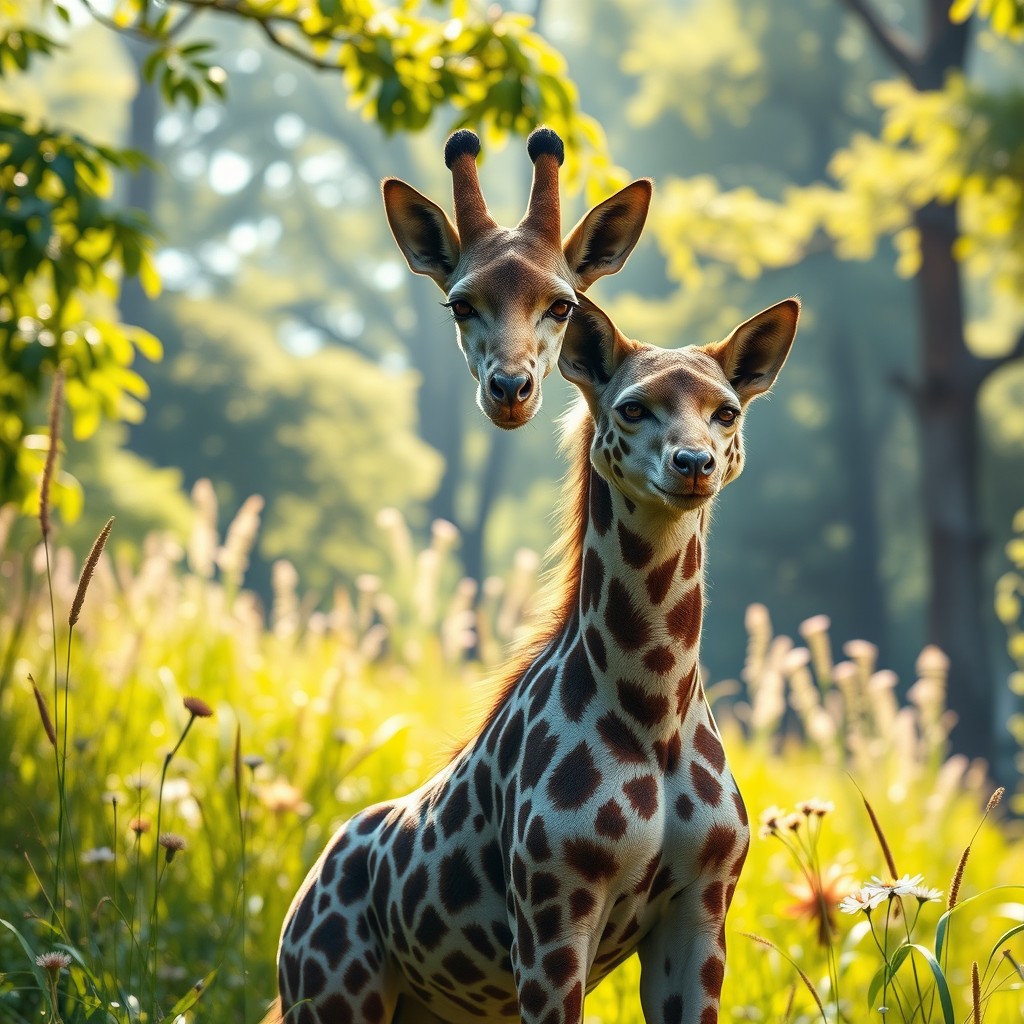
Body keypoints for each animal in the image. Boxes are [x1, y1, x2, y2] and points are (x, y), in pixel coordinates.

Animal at [267, 293, 800, 1024]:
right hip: (335, 997)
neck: (653, 714)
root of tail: (301, 898)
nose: (693, 464)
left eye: (726, 411)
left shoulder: (700, 915)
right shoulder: (552, 920)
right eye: (633, 407)